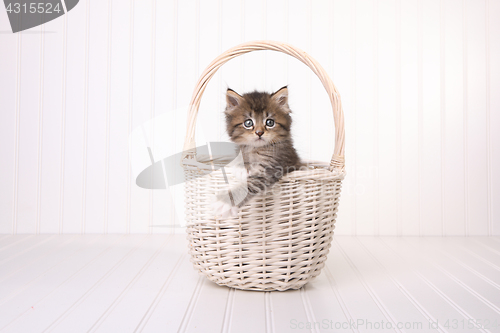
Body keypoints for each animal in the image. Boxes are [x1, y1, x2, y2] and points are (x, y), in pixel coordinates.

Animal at [211, 85, 300, 218]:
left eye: (269, 122)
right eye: (248, 123)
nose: (259, 132)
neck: (255, 149)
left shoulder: (273, 166)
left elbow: (250, 184)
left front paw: (225, 202)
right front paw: (241, 168)